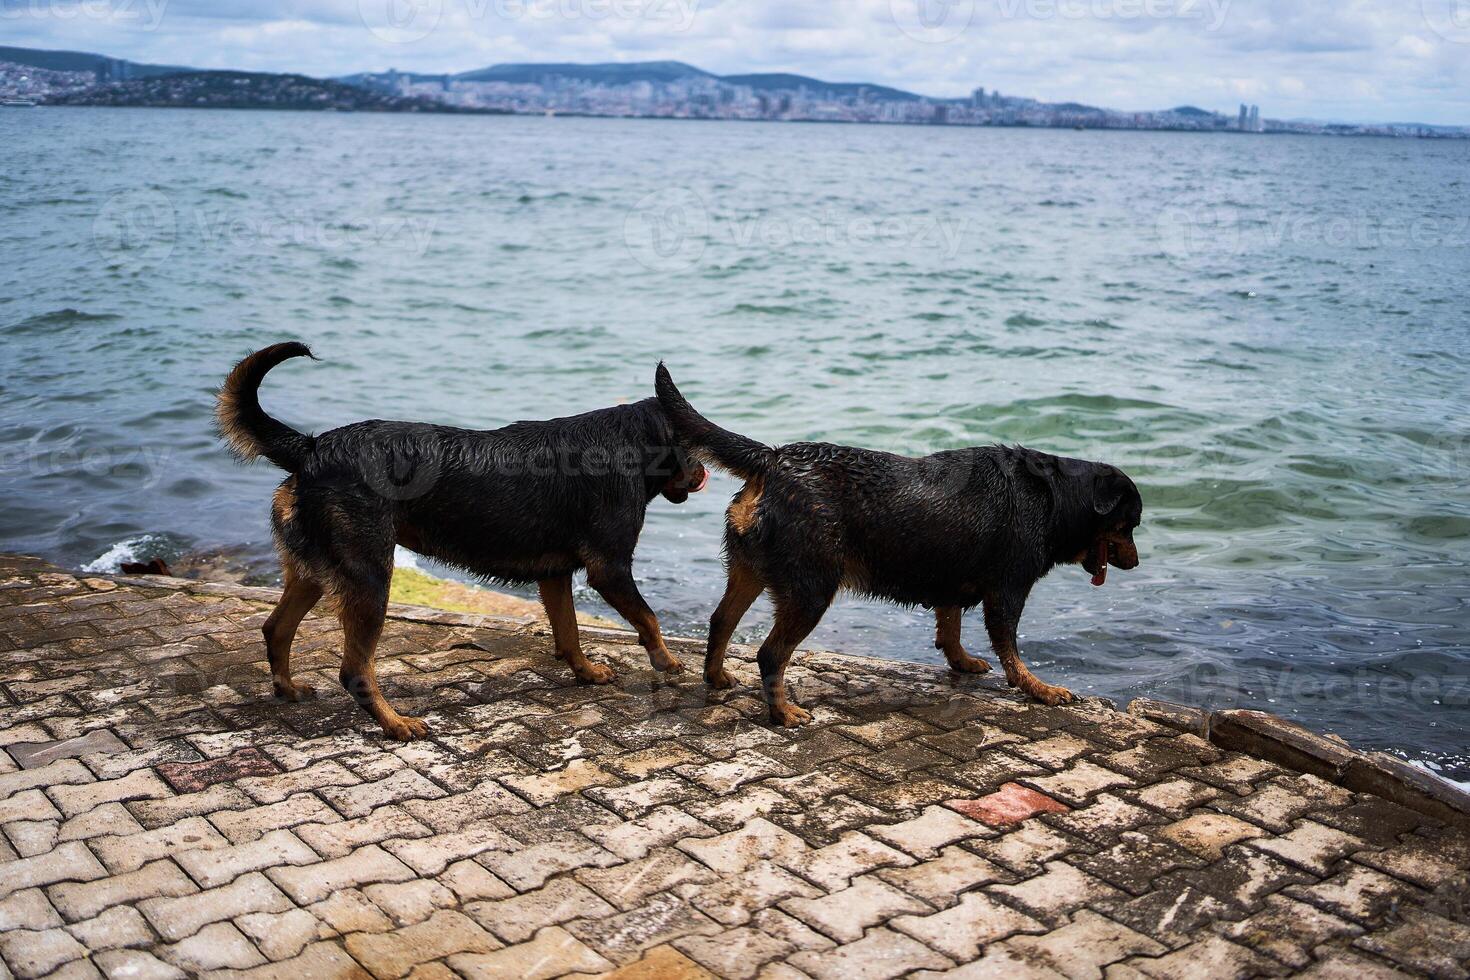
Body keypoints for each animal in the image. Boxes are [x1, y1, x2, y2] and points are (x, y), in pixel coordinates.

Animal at [211, 343, 705, 734]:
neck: (629, 443)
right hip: (370, 576)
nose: (703, 473)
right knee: (354, 670)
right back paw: (395, 723)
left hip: (314, 569)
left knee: (276, 628)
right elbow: (648, 618)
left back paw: (289, 689)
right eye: (694, 446)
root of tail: (312, 448)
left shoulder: (555, 574)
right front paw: (666, 662)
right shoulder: (610, 568)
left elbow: (569, 634)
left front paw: (585, 672)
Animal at [658, 364, 1146, 725]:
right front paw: (1038, 689)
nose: (1137, 563)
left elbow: (950, 627)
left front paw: (961, 662)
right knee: (770, 653)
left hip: (750, 569)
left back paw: (716, 676)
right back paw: (783, 713)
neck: (1054, 497)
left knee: (721, 621)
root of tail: (772, 458)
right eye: (1131, 524)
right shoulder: (1009, 590)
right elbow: (1010, 648)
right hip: (811, 587)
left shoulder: (952, 579)